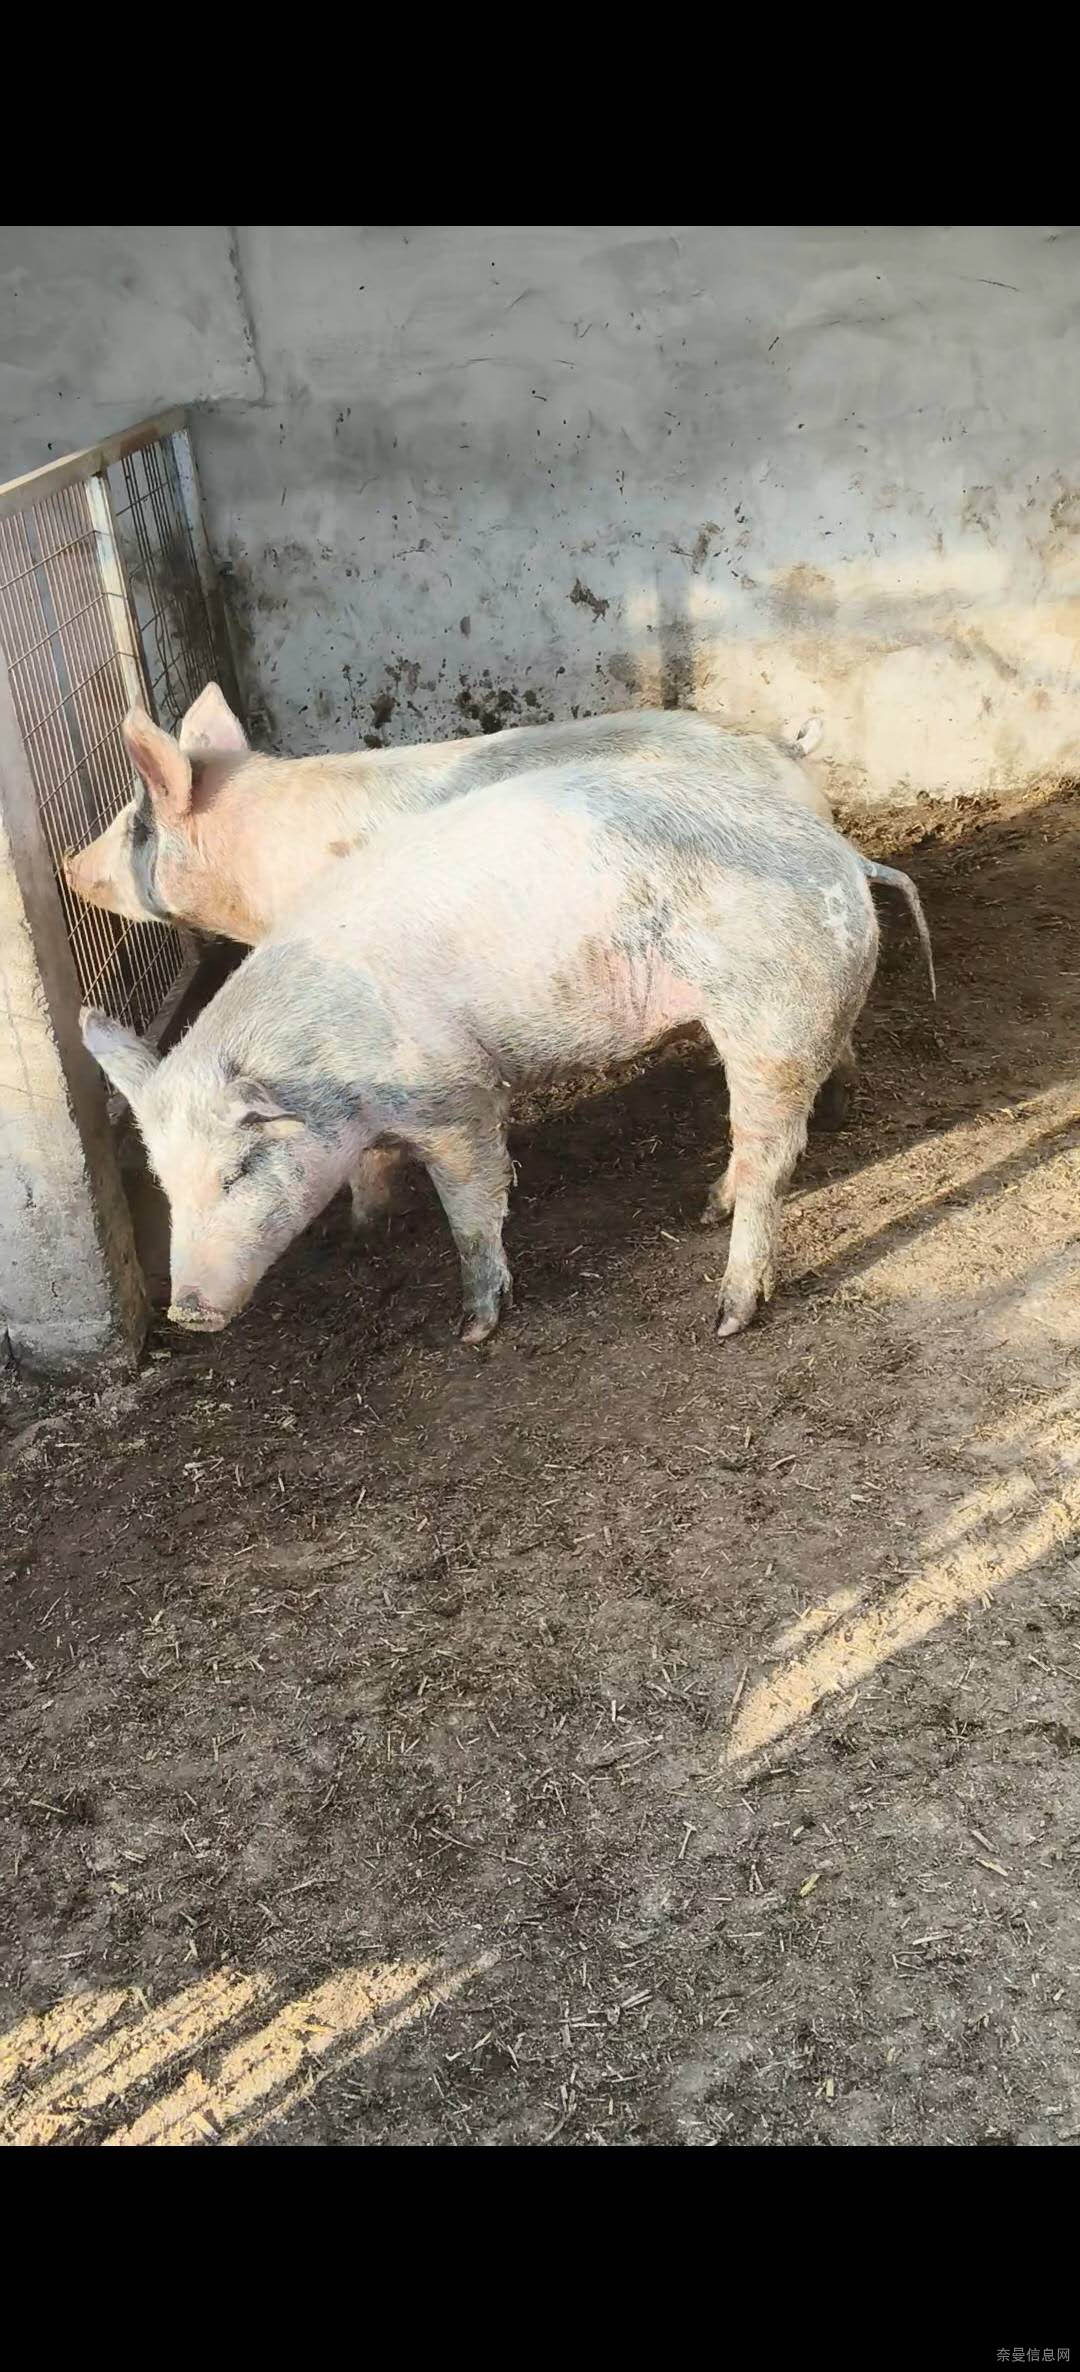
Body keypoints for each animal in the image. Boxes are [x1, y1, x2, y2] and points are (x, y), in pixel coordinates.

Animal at [81, 744, 934, 1348]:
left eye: (237, 1171)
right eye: (163, 1184)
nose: (187, 1313)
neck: (331, 1062)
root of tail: (845, 856)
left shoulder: (454, 1093)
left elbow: (473, 1203)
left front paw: (474, 1329)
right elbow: (374, 1170)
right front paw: (366, 1228)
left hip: (770, 1015)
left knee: (769, 1155)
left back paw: (727, 1314)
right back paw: (721, 1195)